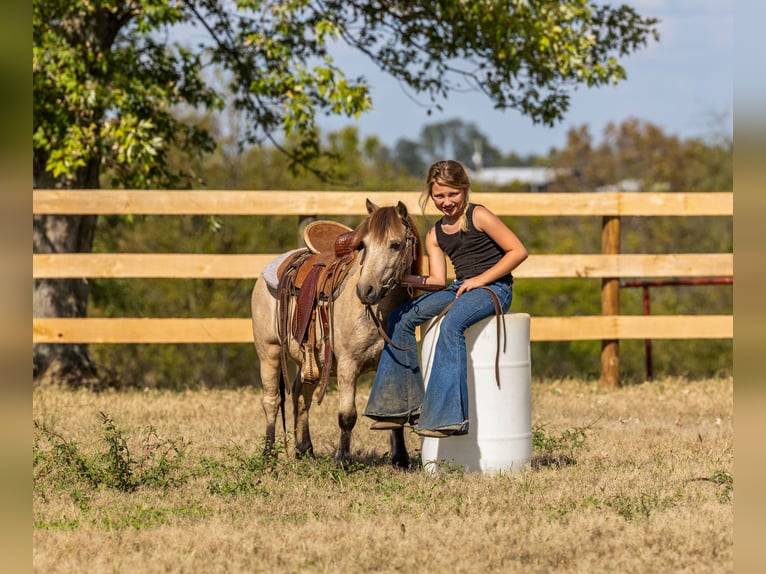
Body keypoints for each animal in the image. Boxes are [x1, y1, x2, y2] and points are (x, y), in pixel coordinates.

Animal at [250, 199, 422, 468]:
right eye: (363, 245)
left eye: (395, 245)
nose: (365, 290)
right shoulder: (348, 365)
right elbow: (347, 416)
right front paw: (342, 461)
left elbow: (393, 411)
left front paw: (401, 460)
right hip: (269, 352)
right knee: (272, 401)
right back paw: (268, 454)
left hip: (309, 361)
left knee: (300, 395)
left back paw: (305, 449)